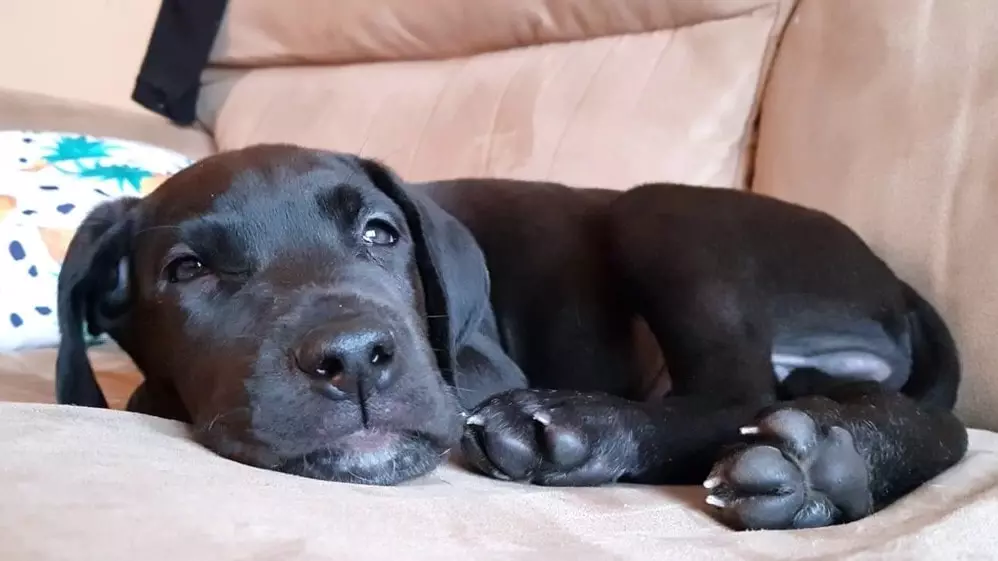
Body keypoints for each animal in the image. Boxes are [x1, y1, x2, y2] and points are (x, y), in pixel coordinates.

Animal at [54, 143, 968, 528]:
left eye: (383, 233)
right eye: (186, 271)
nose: (354, 360)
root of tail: (890, 280)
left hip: (660, 212)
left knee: (741, 390)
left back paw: (589, 431)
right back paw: (837, 461)